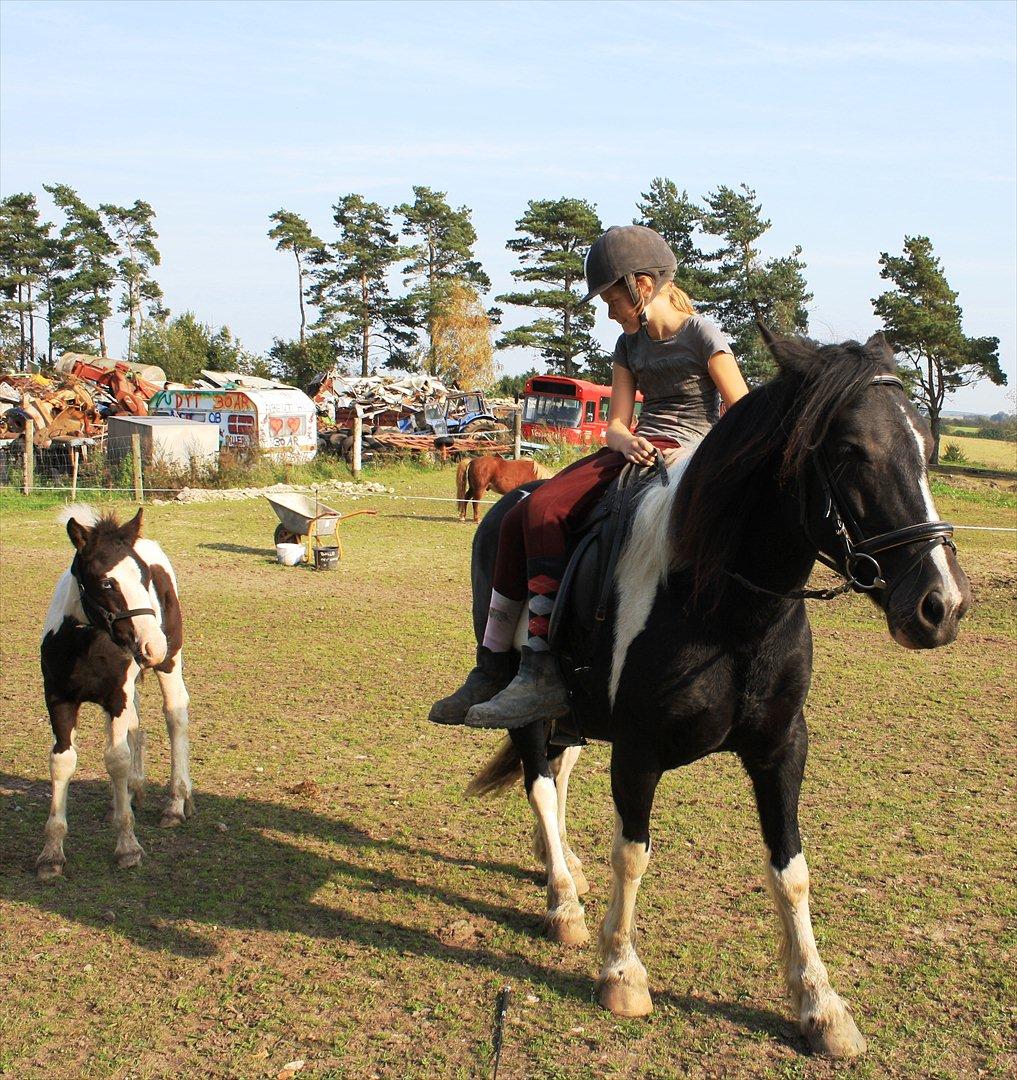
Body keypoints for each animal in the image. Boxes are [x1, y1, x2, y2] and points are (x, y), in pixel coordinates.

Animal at [36, 505, 193, 876]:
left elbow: (117, 758)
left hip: (170, 664)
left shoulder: (116, 698)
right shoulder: (59, 699)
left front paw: (127, 848)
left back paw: (175, 803)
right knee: (136, 727)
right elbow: (62, 761)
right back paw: (130, 795)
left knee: (175, 714)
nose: (154, 645)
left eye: (144, 579)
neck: (84, 647)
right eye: (107, 582)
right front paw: (51, 854)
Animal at [468, 328, 971, 1054]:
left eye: (924, 447)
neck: (723, 606)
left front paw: (820, 1005)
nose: (942, 605)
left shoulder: (781, 749)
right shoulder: (638, 753)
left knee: (559, 773)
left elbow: (790, 871)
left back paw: (561, 864)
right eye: (849, 449)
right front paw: (621, 972)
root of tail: (506, 504)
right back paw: (563, 899)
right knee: (539, 779)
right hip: (530, 702)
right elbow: (632, 854)